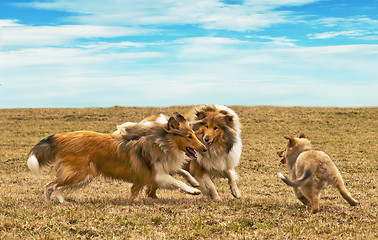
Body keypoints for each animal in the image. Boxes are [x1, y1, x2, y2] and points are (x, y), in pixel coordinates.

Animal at [26, 113, 207, 203]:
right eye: (189, 136)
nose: (204, 148)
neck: (161, 141)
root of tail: (61, 137)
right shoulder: (157, 175)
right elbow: (177, 182)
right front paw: (192, 190)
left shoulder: (163, 166)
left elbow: (182, 172)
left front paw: (194, 182)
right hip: (82, 173)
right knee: (53, 185)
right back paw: (60, 202)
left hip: (81, 175)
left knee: (52, 186)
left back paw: (54, 202)